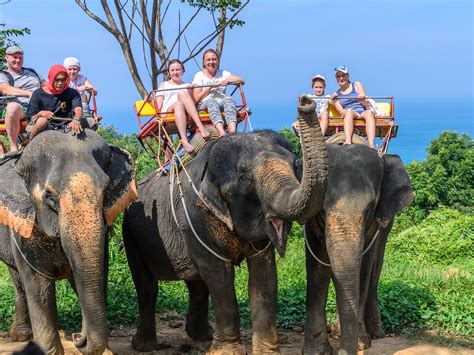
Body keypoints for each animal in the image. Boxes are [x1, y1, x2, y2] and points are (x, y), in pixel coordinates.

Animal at [0, 131, 138, 355]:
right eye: (49, 196)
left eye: (106, 189)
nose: (77, 337)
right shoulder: (24, 231)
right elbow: (38, 284)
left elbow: (92, 275)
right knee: (18, 279)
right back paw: (21, 336)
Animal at [122, 96, 328, 354]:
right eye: (244, 177)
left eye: (296, 165)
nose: (306, 101)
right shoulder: (194, 215)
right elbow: (218, 273)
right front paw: (227, 351)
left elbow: (264, 275)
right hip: (130, 232)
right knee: (147, 285)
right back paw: (145, 345)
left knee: (197, 283)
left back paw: (202, 336)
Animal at [302, 145, 412, 355]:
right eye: (321, 210)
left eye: (369, 208)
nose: (342, 352)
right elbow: (317, 271)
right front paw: (316, 351)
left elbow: (363, 269)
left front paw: (361, 344)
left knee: (375, 268)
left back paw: (374, 333)